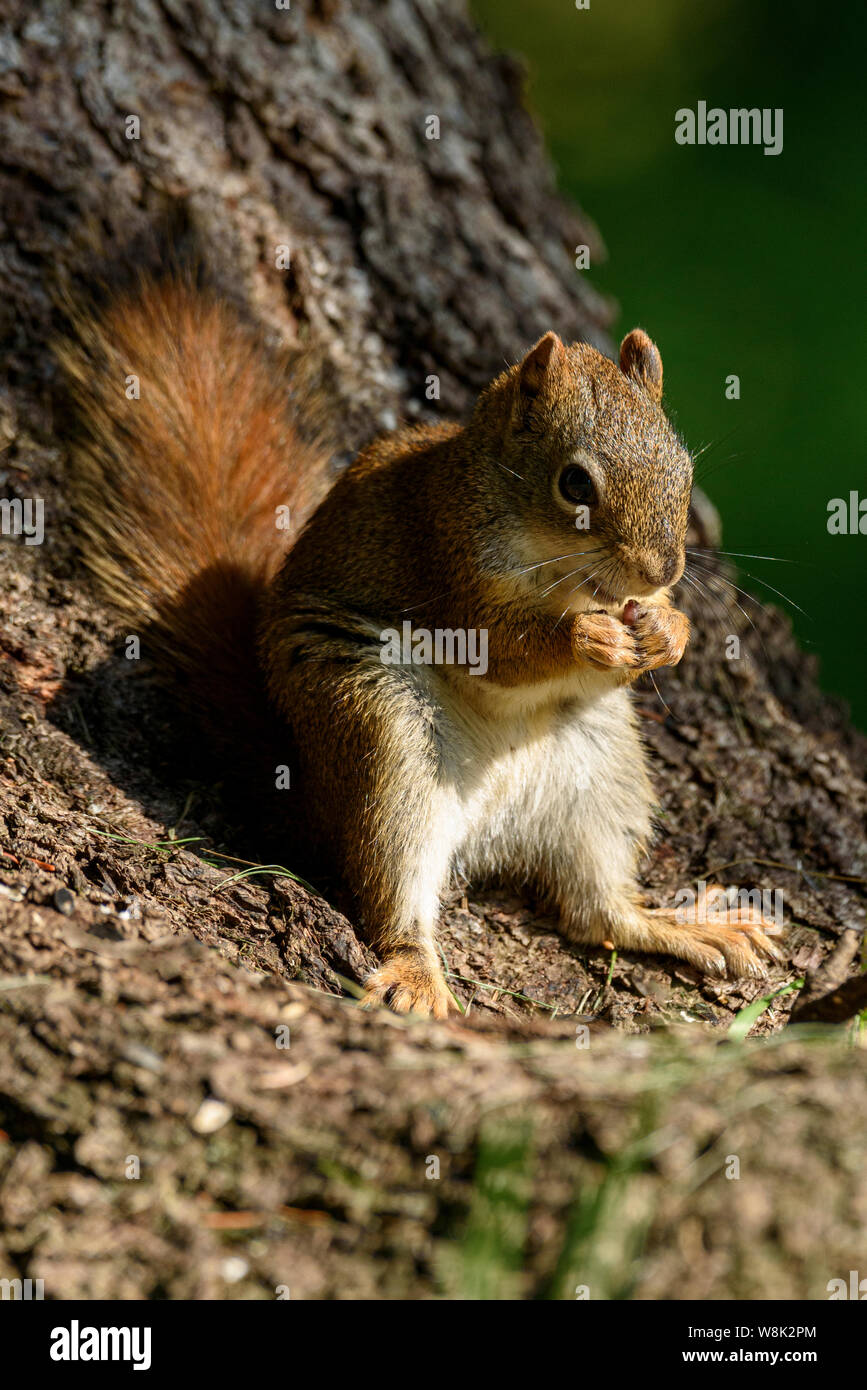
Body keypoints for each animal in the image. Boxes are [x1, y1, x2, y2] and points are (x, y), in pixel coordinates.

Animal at [57, 276, 783, 1017]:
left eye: (682, 469)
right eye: (575, 483)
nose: (660, 570)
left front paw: (669, 629)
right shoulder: (448, 563)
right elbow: (502, 648)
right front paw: (590, 636)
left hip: (601, 766)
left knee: (596, 912)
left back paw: (683, 925)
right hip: (383, 731)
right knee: (392, 887)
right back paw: (415, 973)